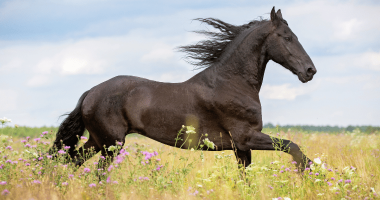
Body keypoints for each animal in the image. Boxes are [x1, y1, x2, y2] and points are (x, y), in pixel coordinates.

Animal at [50, 7, 318, 170]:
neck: (232, 83)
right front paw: (307, 175)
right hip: (110, 144)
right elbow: (293, 147)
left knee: (72, 162)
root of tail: (89, 93)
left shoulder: (241, 147)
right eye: (287, 37)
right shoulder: (246, 137)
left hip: (97, 141)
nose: (310, 71)